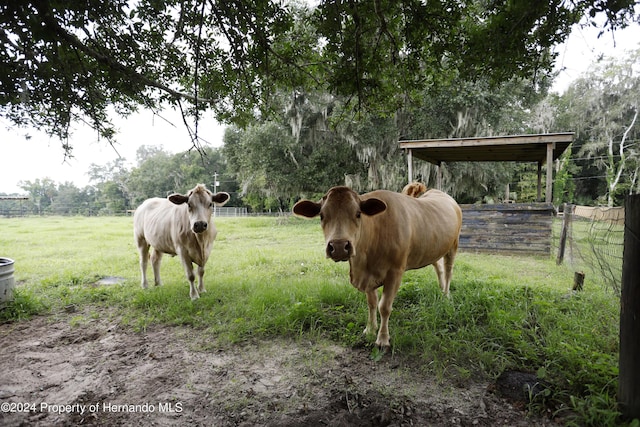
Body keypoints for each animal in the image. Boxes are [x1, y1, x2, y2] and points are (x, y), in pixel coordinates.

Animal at [292, 186, 462, 348]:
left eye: (358, 214)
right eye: (322, 215)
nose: (339, 246)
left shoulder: (395, 272)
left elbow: (384, 306)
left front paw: (382, 339)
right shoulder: (367, 276)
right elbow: (372, 303)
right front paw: (370, 329)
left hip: (453, 245)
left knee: (448, 270)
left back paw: (446, 295)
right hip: (433, 248)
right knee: (439, 267)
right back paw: (441, 289)